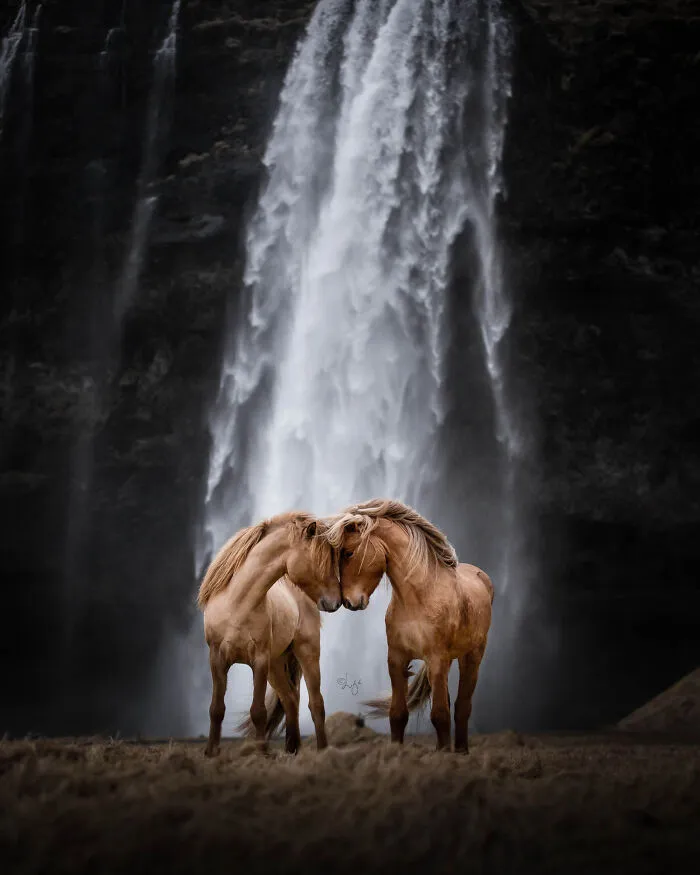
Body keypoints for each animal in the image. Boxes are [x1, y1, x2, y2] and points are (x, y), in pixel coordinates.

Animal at [197, 511, 341, 757]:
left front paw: (261, 752)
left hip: (306, 653)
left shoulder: (259, 660)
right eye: (319, 560)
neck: (237, 604)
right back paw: (292, 750)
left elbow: (258, 711)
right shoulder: (217, 659)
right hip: (276, 665)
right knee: (290, 700)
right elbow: (216, 708)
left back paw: (322, 750)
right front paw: (211, 752)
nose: (335, 602)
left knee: (316, 704)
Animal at [326, 498, 494, 753]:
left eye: (348, 552)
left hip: (472, 656)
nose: (348, 602)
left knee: (462, 706)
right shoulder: (397, 659)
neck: (419, 598)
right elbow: (398, 714)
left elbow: (440, 715)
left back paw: (461, 751)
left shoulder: (436, 659)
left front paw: (443, 754)